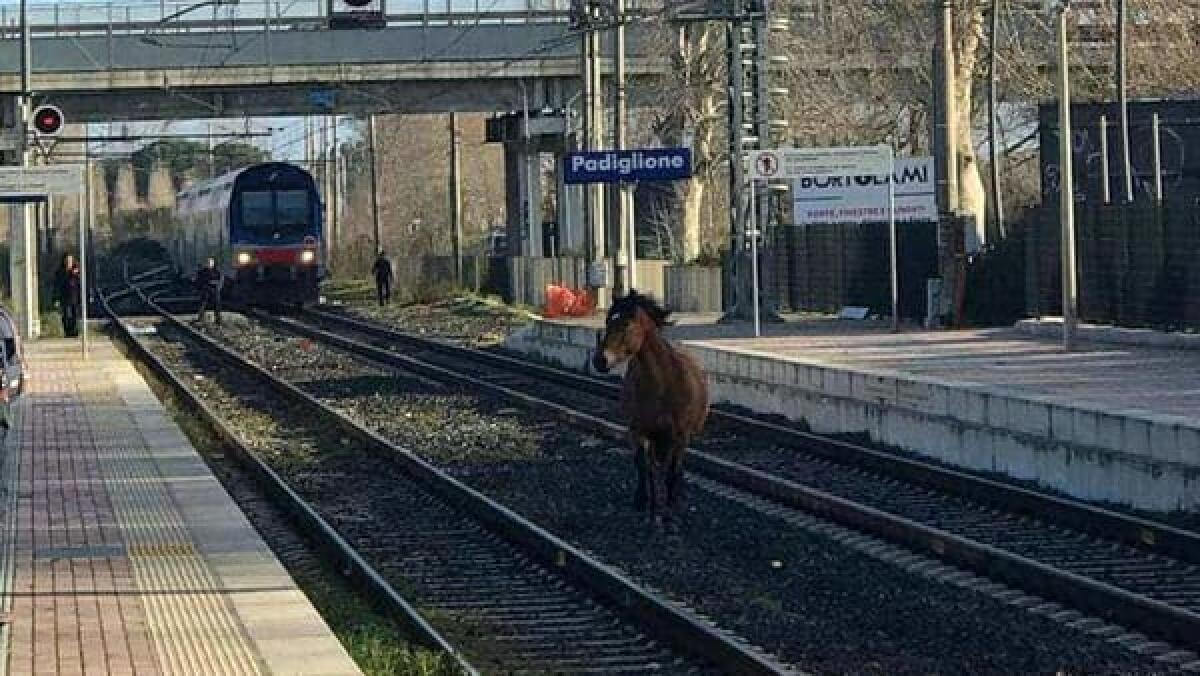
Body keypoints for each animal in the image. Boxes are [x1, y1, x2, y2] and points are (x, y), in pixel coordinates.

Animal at [591, 291, 709, 520]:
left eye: (626, 323)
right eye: (607, 321)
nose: (600, 360)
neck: (662, 385)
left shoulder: (678, 435)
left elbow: (672, 470)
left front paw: (671, 507)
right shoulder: (639, 430)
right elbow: (644, 466)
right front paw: (647, 504)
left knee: (675, 467)